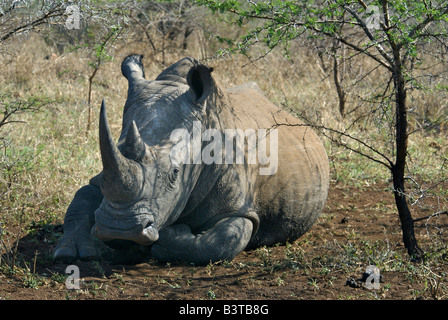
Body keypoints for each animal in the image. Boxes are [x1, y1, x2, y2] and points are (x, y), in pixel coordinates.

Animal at [54, 55, 330, 264]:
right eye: (111, 155)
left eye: (175, 173)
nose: (119, 230)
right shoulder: (100, 181)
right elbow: (82, 198)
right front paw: (72, 253)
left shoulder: (241, 207)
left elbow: (217, 243)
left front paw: (171, 235)